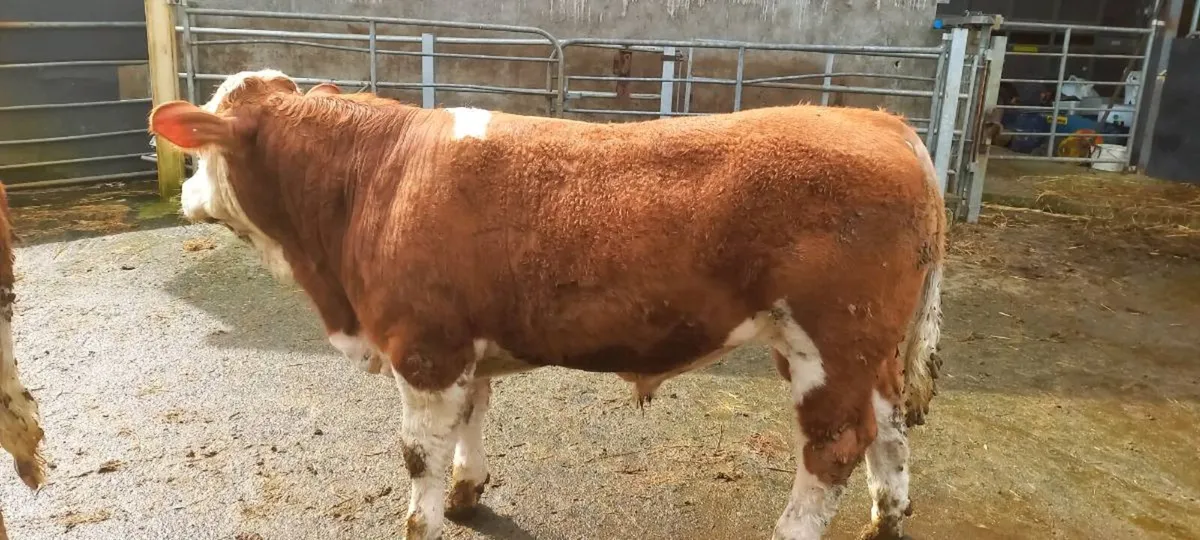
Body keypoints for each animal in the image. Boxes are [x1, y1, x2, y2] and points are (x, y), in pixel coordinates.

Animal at [149, 69, 945, 540]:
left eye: (200, 151)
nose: (184, 195)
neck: (374, 179)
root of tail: (882, 122)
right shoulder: (464, 348)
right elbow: (472, 421)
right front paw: (466, 495)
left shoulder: (424, 347)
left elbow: (417, 453)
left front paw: (422, 520)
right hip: (863, 350)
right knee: (887, 428)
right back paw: (887, 519)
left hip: (829, 342)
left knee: (833, 446)